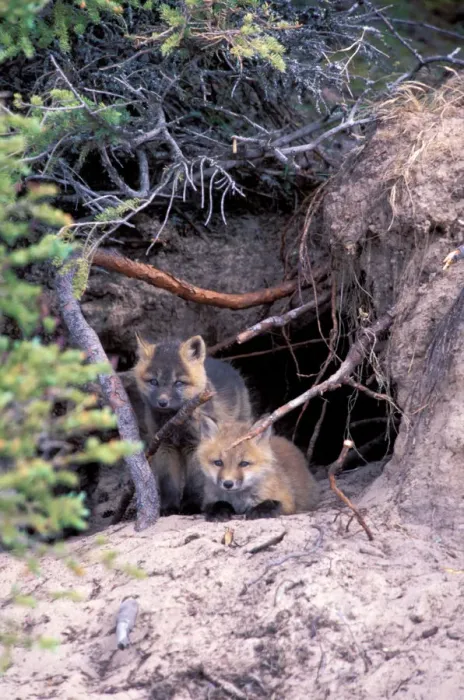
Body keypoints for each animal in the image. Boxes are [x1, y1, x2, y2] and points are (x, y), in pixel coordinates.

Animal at [133, 334, 252, 515]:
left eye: (178, 383)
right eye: (154, 382)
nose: (163, 402)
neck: (175, 424)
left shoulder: (195, 446)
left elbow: (195, 483)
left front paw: (192, 506)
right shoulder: (165, 446)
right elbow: (169, 483)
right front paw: (169, 508)